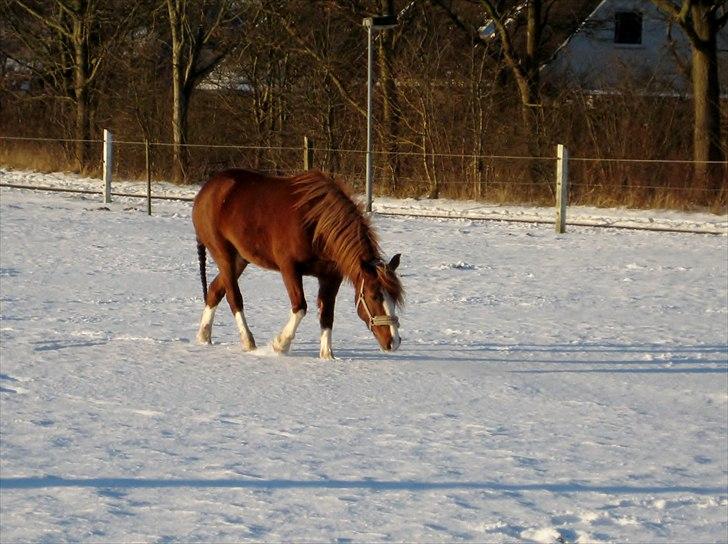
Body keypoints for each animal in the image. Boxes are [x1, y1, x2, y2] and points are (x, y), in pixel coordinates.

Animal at [191, 168, 404, 360]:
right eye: (374, 296)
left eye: (395, 297)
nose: (393, 342)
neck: (316, 225)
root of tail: (207, 190)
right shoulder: (290, 269)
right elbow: (300, 307)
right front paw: (280, 345)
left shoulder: (330, 277)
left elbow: (327, 315)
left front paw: (327, 356)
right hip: (223, 254)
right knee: (234, 297)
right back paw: (248, 342)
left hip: (241, 258)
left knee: (215, 290)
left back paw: (204, 336)